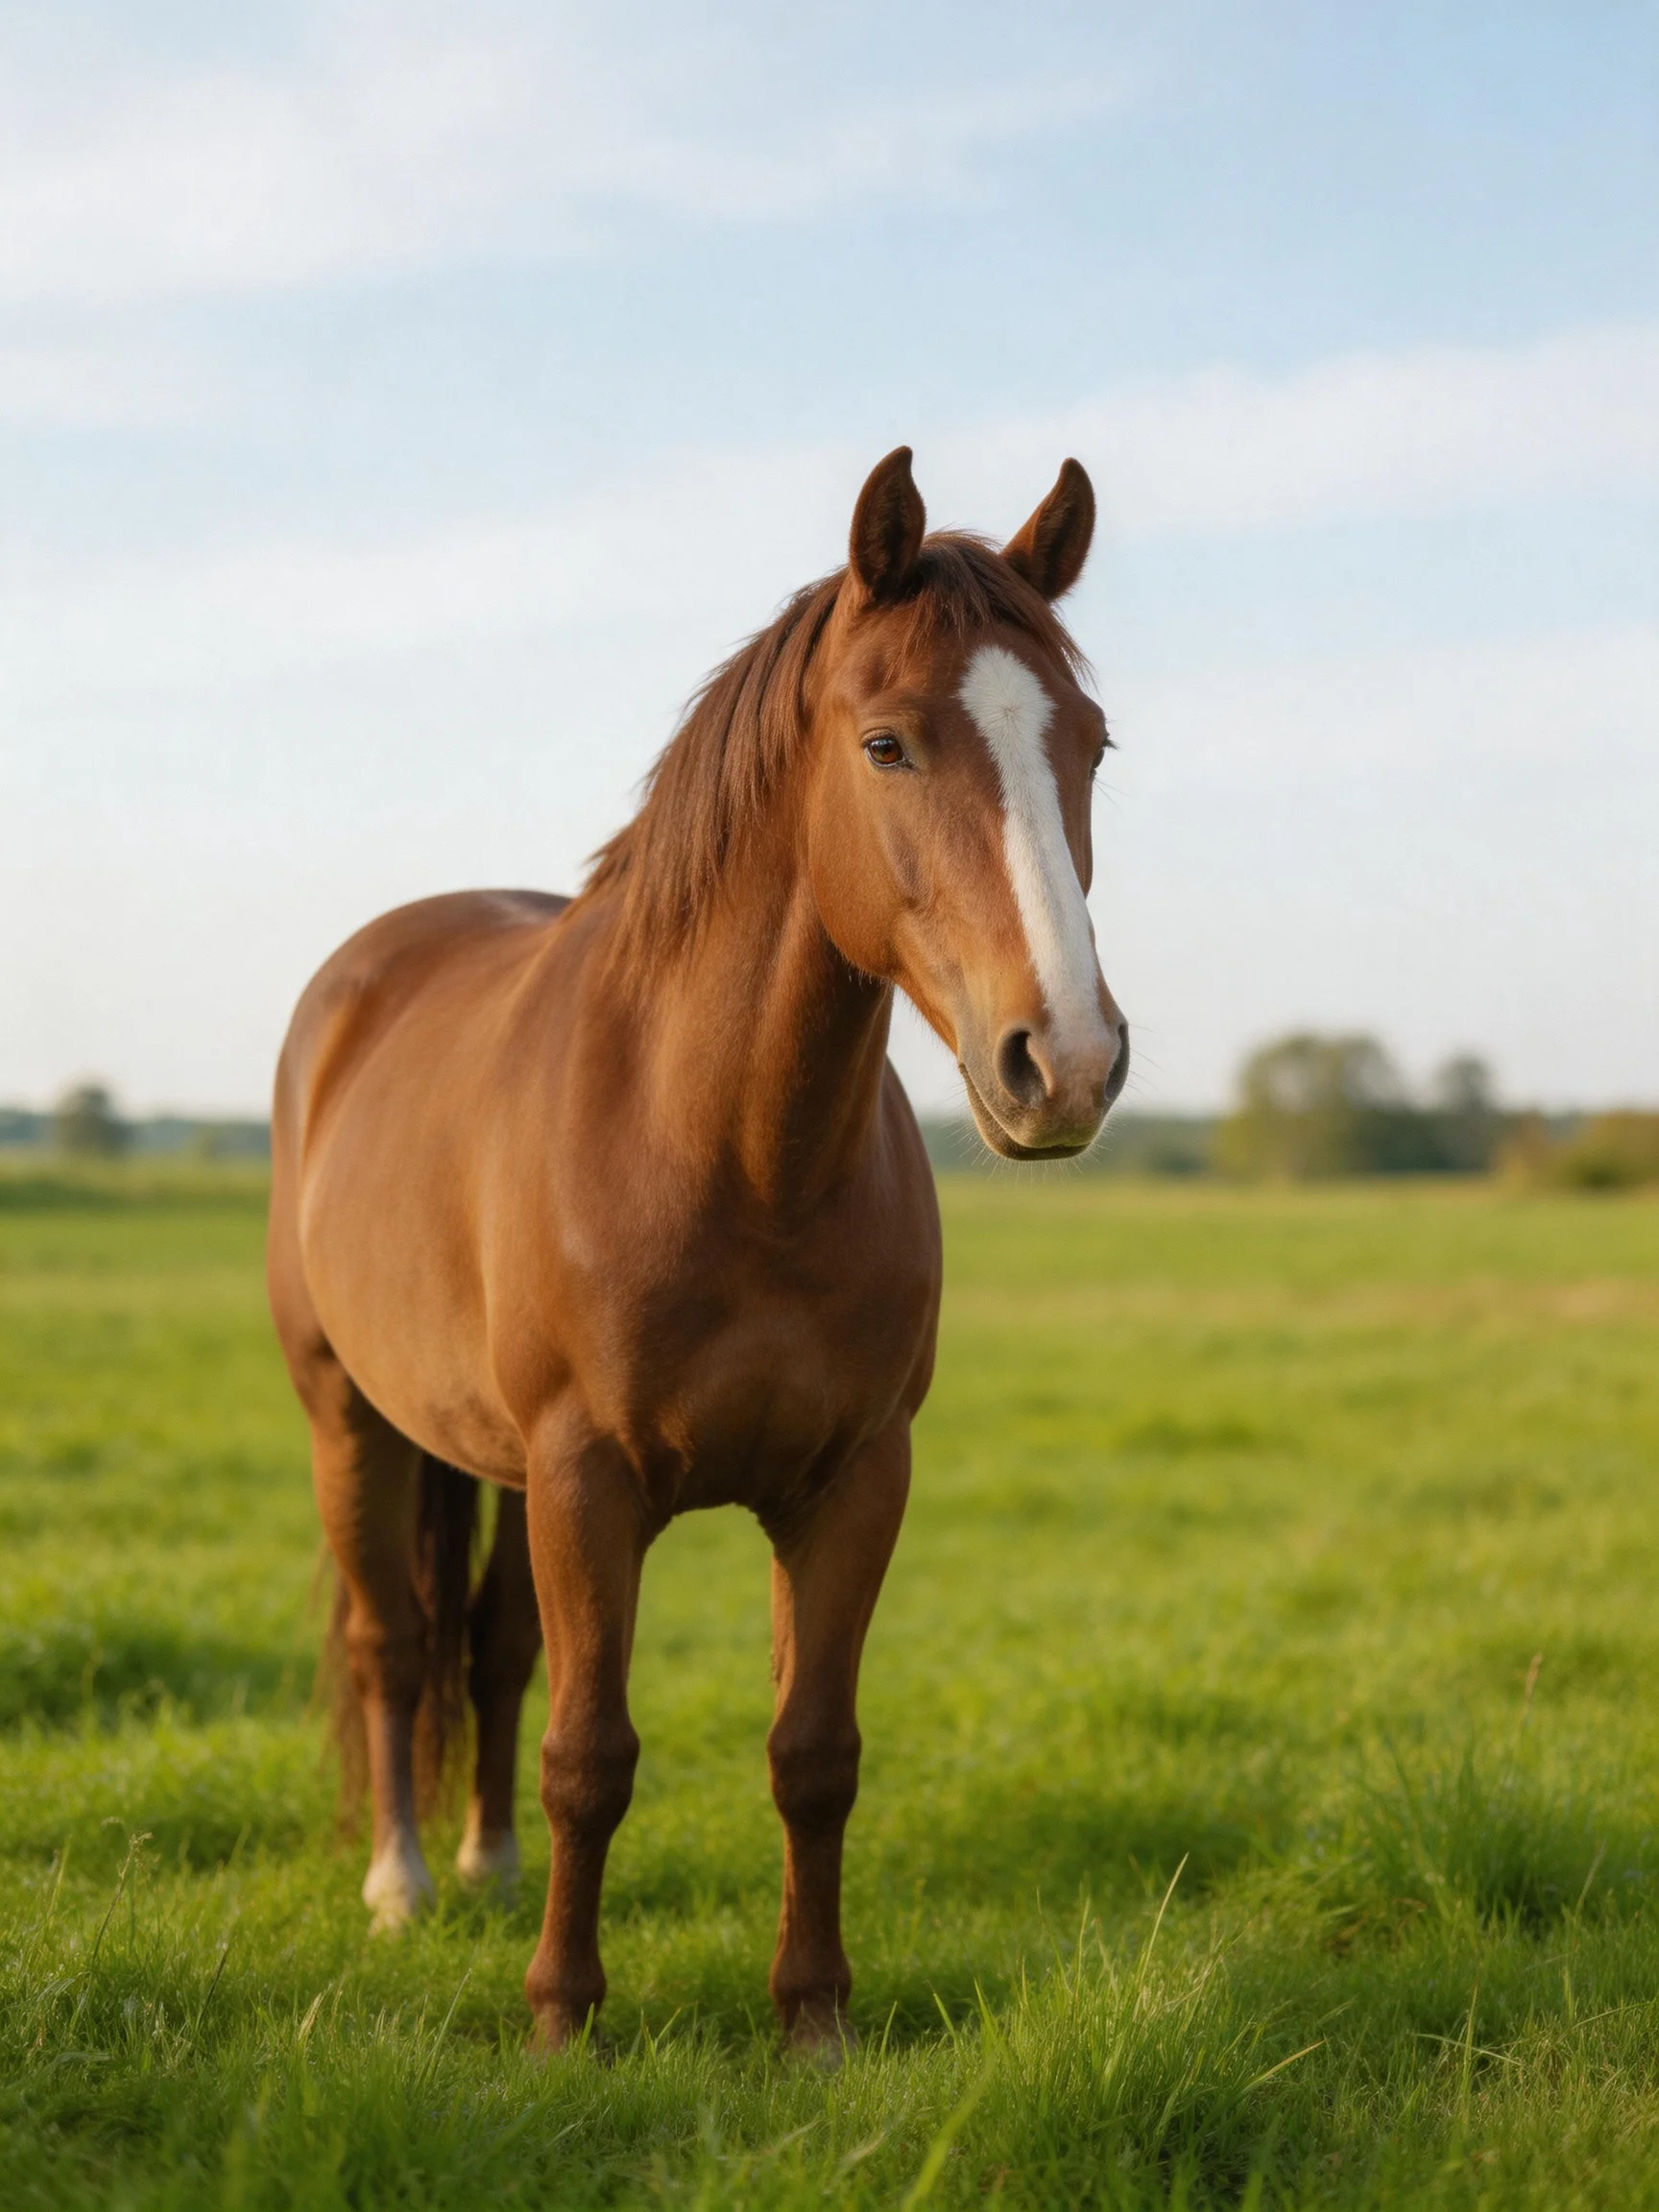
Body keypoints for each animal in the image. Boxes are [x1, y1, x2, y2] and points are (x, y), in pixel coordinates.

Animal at [266, 446, 1128, 2052]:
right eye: (886, 744)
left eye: (1091, 745)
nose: (1068, 1062)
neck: (732, 1155)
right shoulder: (587, 1481)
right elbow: (591, 1755)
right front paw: (563, 2020)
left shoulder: (852, 1484)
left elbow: (813, 1753)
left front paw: (814, 2022)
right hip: (350, 1419)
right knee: (392, 1643)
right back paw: (403, 1883)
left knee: (486, 1643)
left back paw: (482, 1866)